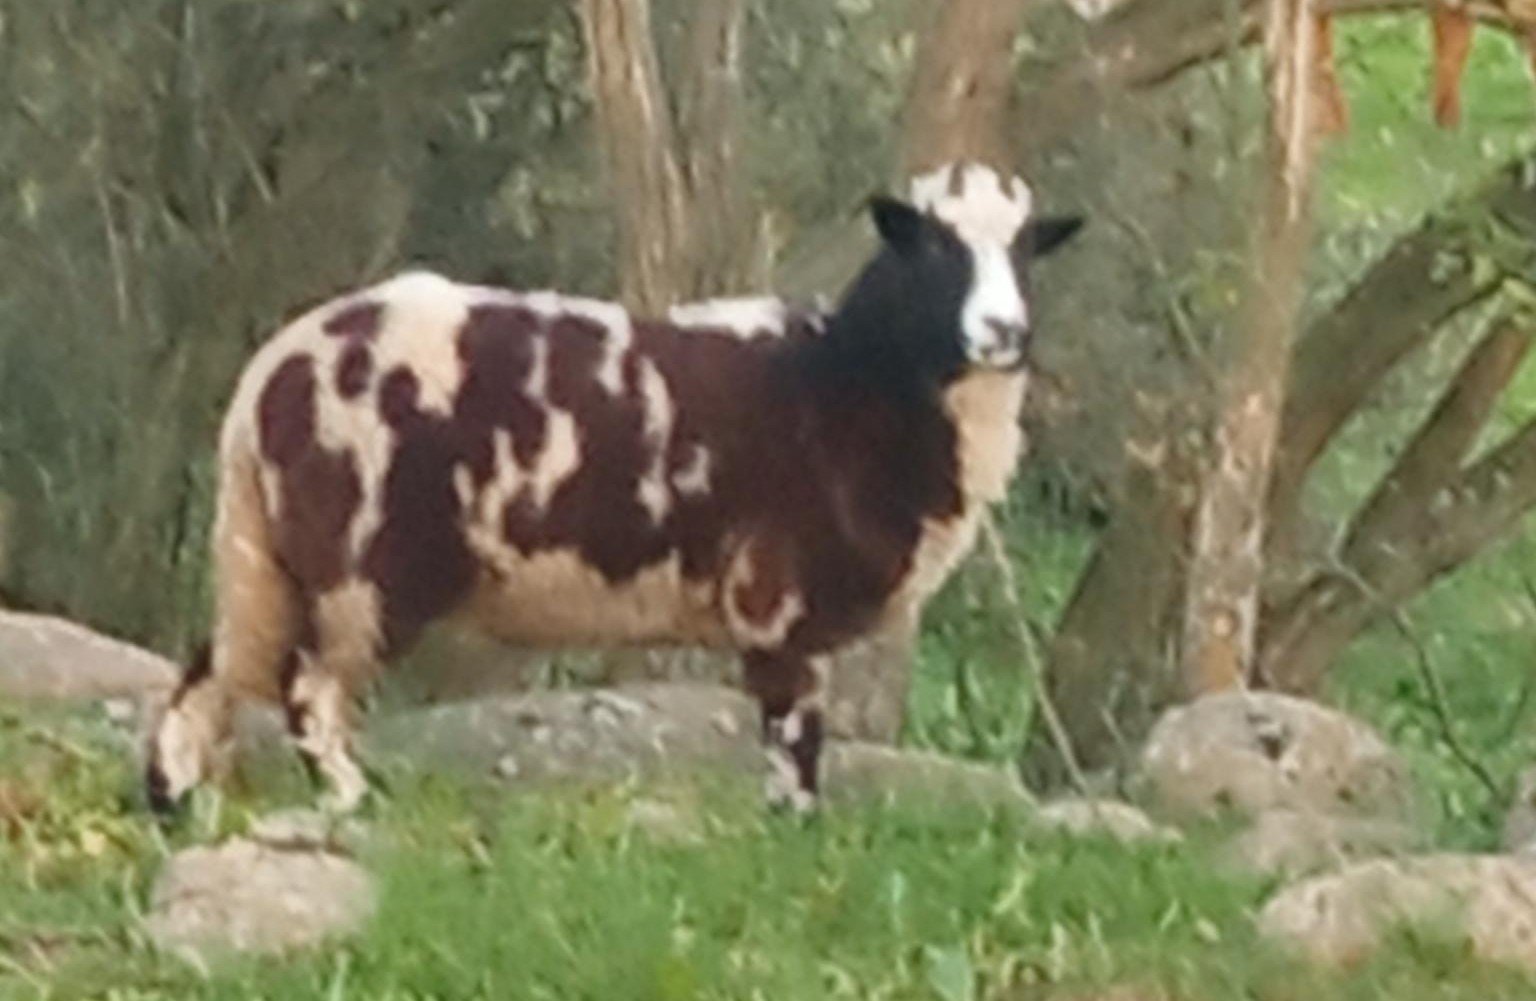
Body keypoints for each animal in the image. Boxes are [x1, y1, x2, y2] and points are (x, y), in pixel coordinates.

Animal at [146, 162, 1083, 815]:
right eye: (934, 246)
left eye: (1026, 251)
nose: (1004, 332)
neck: (846, 381)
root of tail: (268, 374)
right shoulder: (775, 600)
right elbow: (794, 737)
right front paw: (795, 829)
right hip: (360, 561)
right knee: (308, 687)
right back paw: (348, 798)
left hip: (273, 555)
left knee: (215, 667)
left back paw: (176, 795)